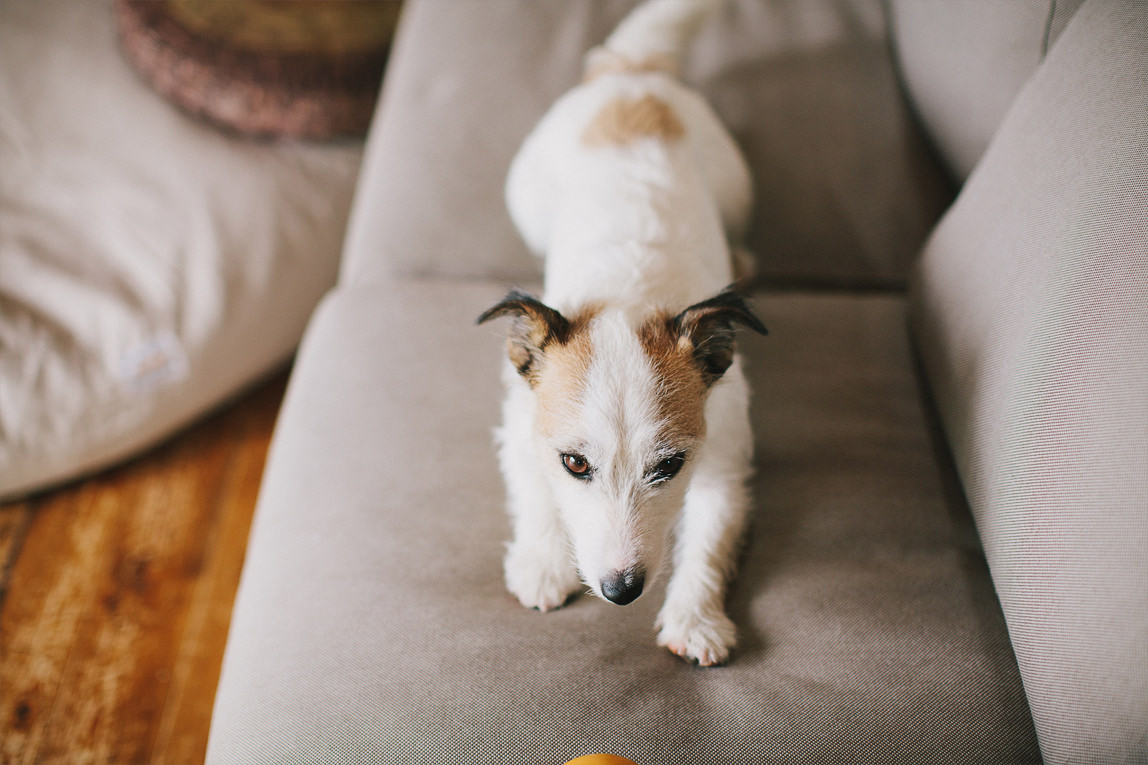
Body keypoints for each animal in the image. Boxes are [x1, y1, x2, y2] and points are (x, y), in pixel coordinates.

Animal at [475, 0, 762, 661]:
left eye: (670, 466)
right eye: (575, 463)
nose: (621, 590)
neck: (631, 299)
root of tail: (631, 72)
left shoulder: (725, 462)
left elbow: (708, 543)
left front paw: (695, 618)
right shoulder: (519, 421)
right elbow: (533, 492)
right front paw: (542, 563)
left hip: (738, 190)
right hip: (527, 199)